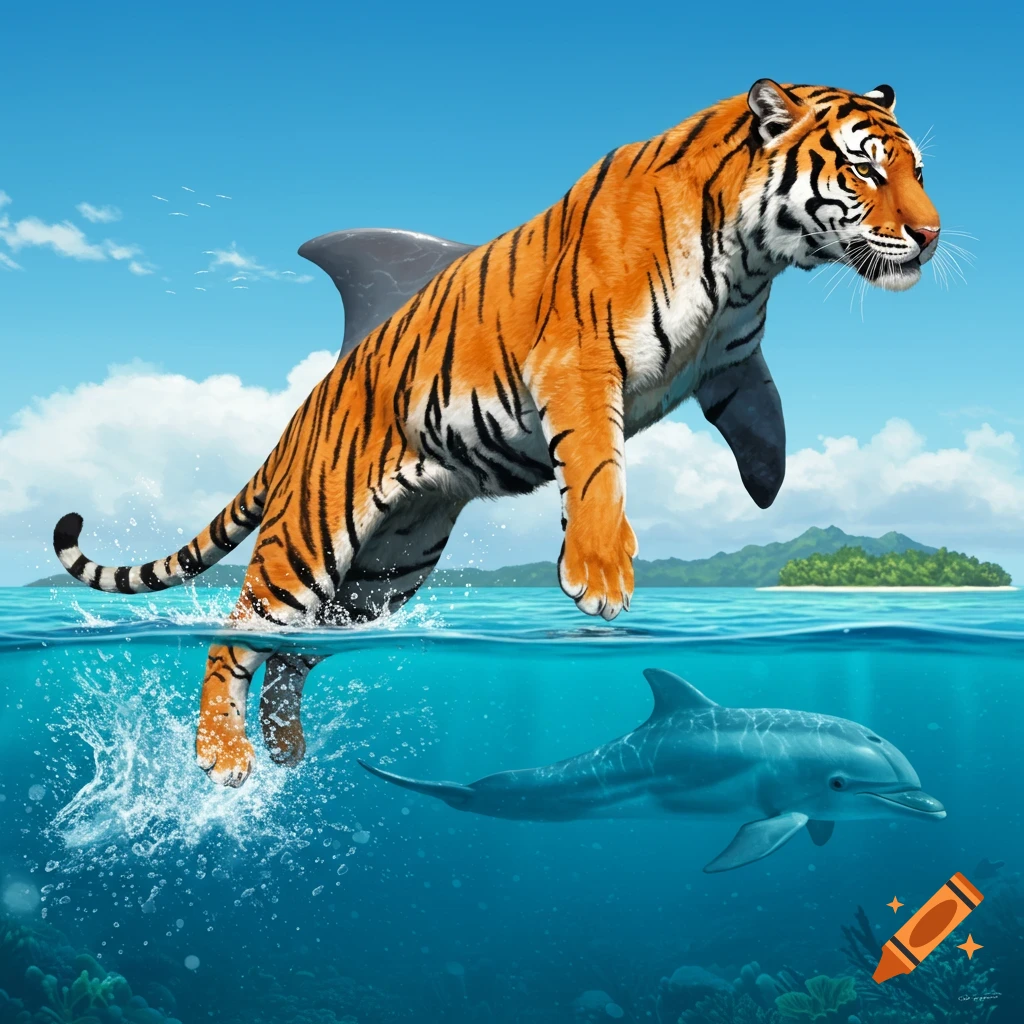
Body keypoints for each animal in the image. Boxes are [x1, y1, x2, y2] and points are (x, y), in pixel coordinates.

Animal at [54, 80, 940, 787]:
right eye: (866, 169)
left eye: (918, 171)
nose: (931, 236)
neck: (754, 257)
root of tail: (303, 414)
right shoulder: (580, 363)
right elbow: (598, 466)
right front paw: (599, 576)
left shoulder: (735, 364)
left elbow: (765, 424)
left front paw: (767, 485)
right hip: (308, 538)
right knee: (237, 634)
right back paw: (225, 756)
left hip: (382, 575)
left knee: (292, 655)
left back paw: (284, 750)